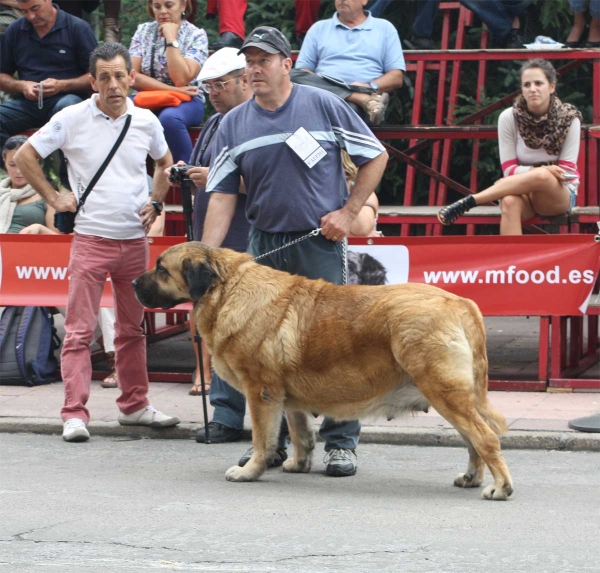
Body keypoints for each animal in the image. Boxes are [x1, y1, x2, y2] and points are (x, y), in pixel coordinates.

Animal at [134, 242, 512, 500]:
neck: (225, 288)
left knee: (485, 439)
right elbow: (300, 434)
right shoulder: (286, 399)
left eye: (162, 269)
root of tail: (460, 303)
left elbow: (262, 439)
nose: (135, 283)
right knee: (474, 442)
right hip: (452, 397)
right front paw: (297, 464)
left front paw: (250, 470)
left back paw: (500, 487)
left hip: (446, 393)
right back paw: (472, 478)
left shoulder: (261, 394)